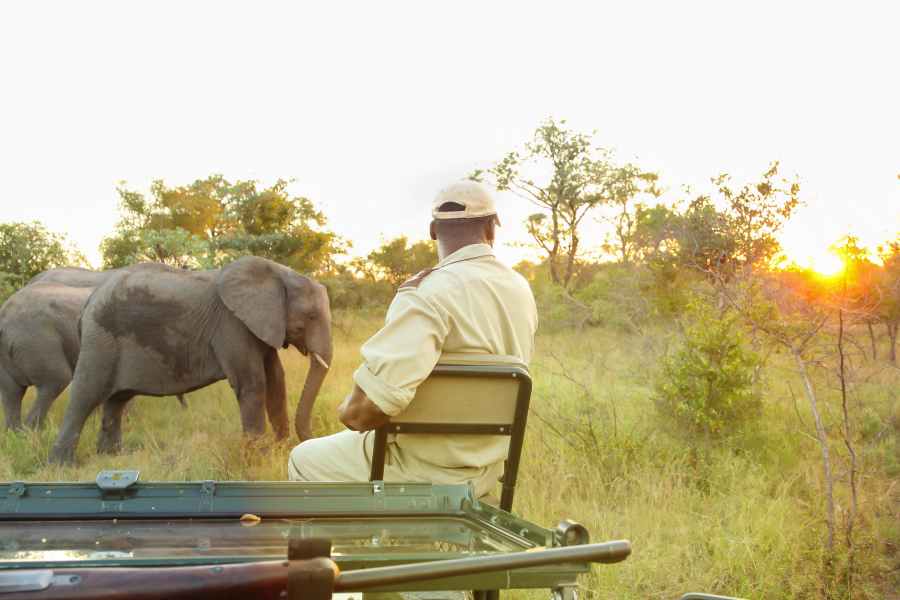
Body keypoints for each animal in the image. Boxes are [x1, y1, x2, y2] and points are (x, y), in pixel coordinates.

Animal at [49, 254, 332, 464]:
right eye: (311, 316)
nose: (312, 439)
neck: (280, 273)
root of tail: (88, 304)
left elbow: (276, 381)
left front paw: (281, 453)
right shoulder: (232, 324)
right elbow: (253, 384)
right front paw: (260, 459)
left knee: (116, 401)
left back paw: (113, 458)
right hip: (100, 339)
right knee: (85, 395)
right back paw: (63, 465)